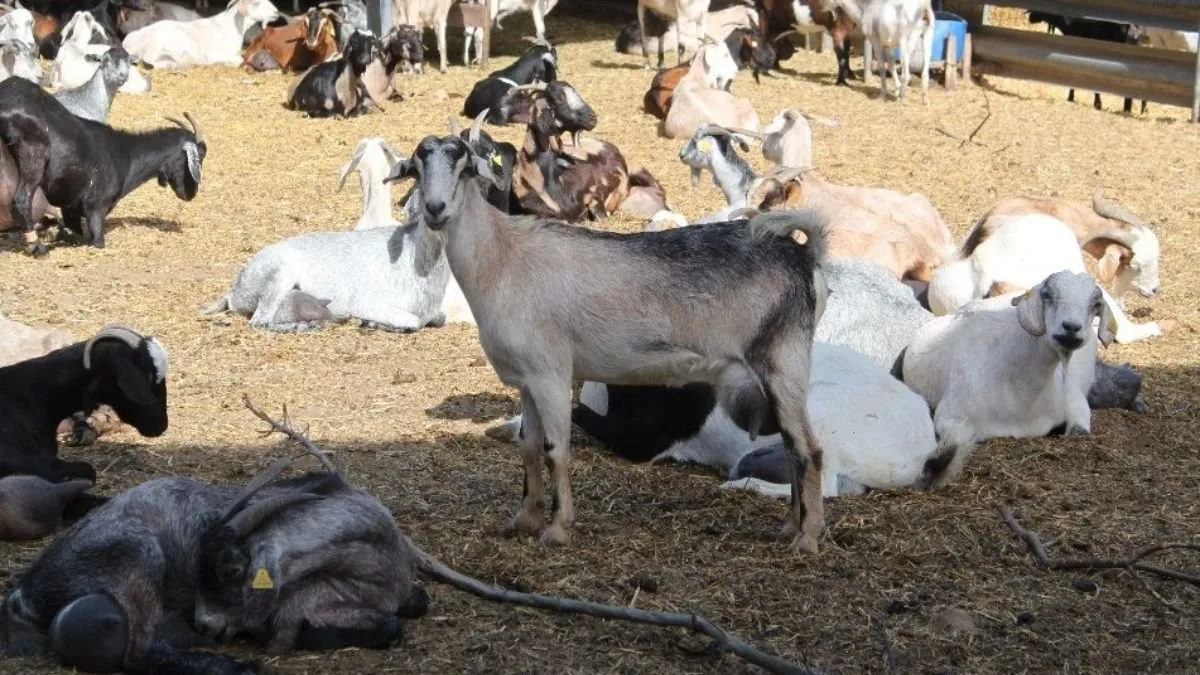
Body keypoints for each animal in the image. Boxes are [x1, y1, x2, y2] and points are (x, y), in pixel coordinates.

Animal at [0, 80, 205, 256]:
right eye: (200, 156)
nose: (192, 193)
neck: (127, 156)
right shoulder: (97, 207)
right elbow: (97, 242)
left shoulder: (70, 208)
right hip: (33, 157)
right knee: (22, 200)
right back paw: (38, 248)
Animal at [2, 454, 428, 673]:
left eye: (231, 569)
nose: (202, 624)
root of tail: (24, 590)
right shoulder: (291, 608)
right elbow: (388, 627)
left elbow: (416, 604)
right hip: (138, 557)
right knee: (140, 652)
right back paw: (233, 667)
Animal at [122, 0, 281, 69]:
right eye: (256, 3)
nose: (276, 12)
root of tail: (128, 42)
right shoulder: (215, 54)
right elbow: (238, 60)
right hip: (157, 44)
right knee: (149, 61)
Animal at [386, 134, 831, 552]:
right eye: (418, 167)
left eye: (462, 166)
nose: (435, 209)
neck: (503, 258)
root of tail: (805, 256)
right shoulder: (528, 379)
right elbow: (528, 447)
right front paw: (523, 520)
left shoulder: (552, 373)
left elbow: (555, 450)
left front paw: (557, 528)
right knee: (791, 446)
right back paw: (788, 527)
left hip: (783, 360)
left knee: (808, 448)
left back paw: (807, 537)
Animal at [897, 270, 1112, 487]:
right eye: (1047, 295)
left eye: (1095, 305)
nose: (1071, 327)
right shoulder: (950, 414)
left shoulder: (1073, 399)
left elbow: (1079, 430)